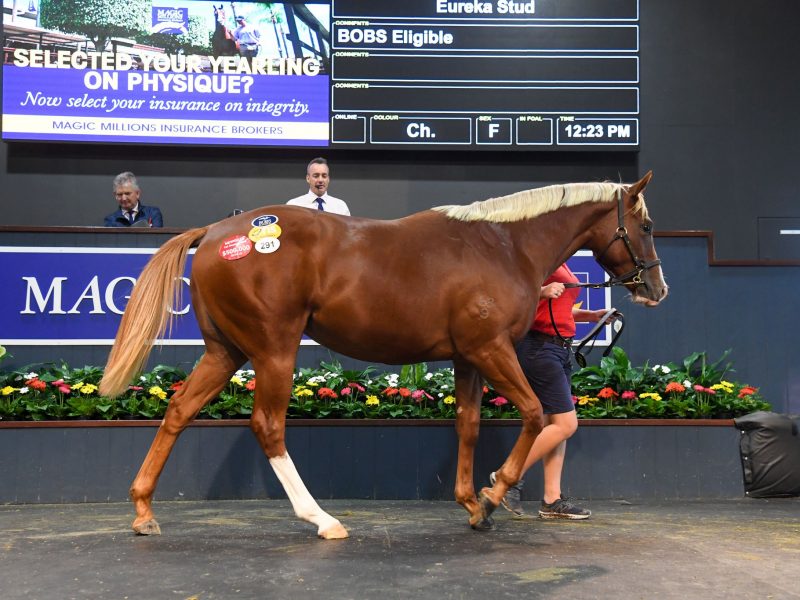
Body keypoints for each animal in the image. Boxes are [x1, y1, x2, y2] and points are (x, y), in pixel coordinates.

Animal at [100, 172, 667, 539]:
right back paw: (322, 520)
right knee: (267, 426)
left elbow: (467, 425)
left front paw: (471, 503)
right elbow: (532, 413)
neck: (501, 246)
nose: (656, 289)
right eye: (645, 226)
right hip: (273, 349)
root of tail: (218, 231)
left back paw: (144, 510)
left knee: (178, 411)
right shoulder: (491, 349)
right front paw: (493, 496)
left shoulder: (468, 358)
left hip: (225, 351)